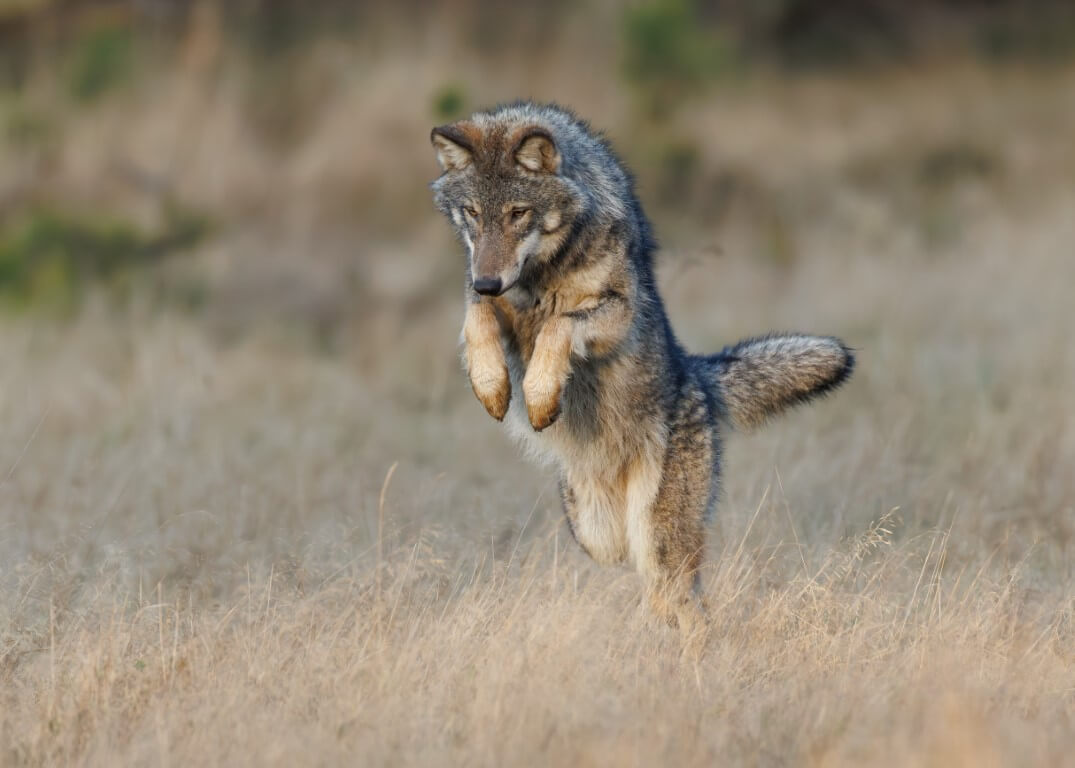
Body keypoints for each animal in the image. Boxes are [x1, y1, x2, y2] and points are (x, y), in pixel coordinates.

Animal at [430, 102, 853, 640]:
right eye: (473, 215)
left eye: (517, 214)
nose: (488, 279)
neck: (543, 272)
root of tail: (696, 377)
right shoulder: (491, 300)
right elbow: (477, 318)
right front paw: (491, 385)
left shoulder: (618, 311)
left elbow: (559, 326)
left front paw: (540, 395)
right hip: (598, 534)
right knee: (660, 593)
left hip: (657, 540)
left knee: (688, 606)